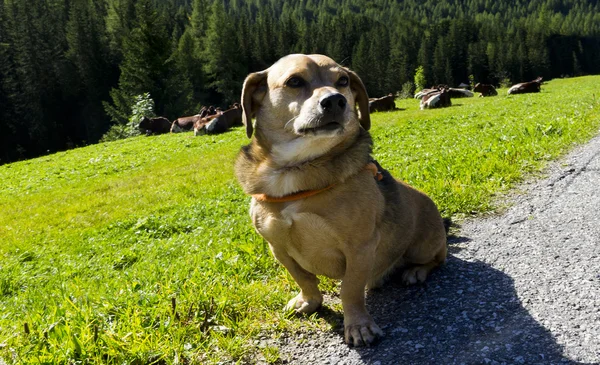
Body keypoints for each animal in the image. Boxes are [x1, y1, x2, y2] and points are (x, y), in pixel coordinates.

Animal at [233, 52, 446, 346]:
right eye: (294, 81)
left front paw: (358, 326)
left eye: (343, 81)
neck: (299, 168)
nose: (335, 100)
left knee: (438, 259)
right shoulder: (278, 247)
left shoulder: (359, 247)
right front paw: (309, 301)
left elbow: (350, 290)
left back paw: (416, 271)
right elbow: (303, 278)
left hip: (422, 246)